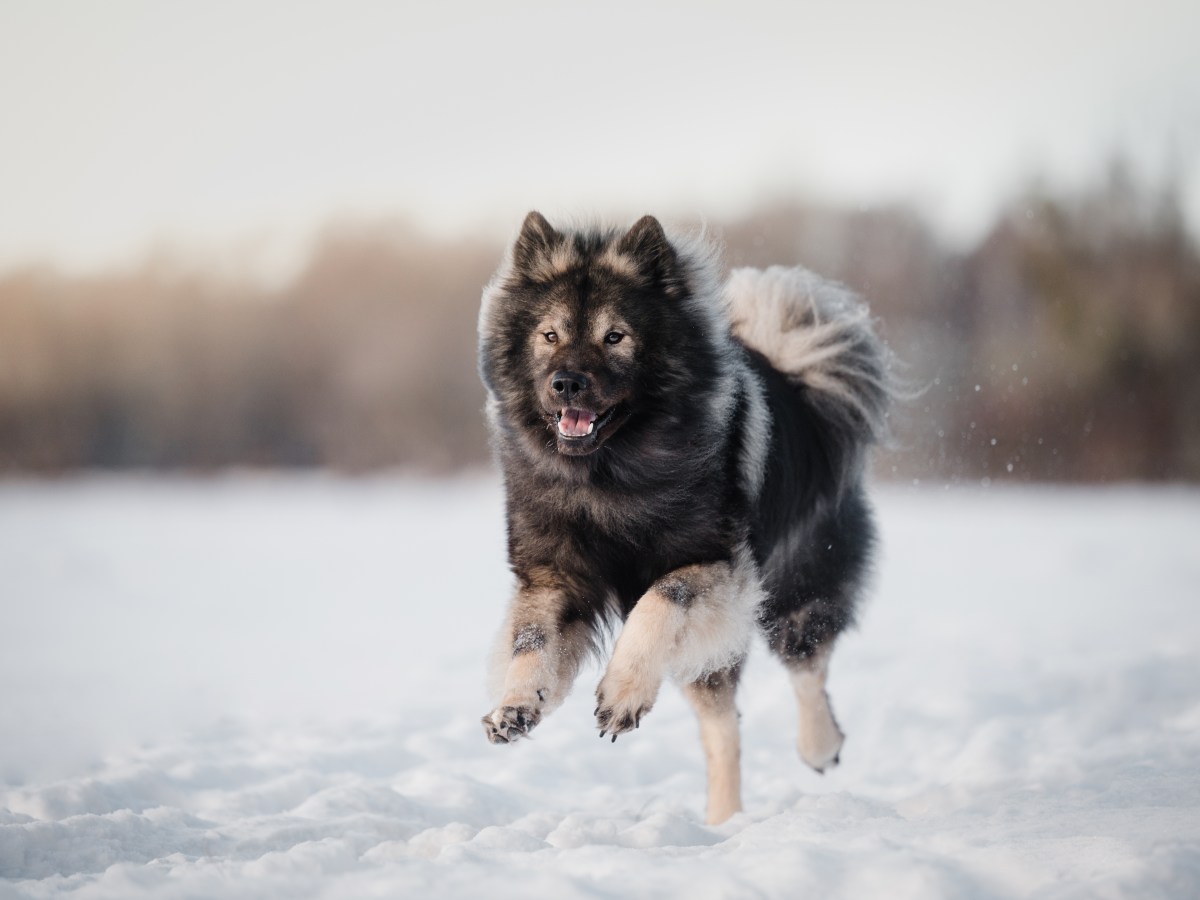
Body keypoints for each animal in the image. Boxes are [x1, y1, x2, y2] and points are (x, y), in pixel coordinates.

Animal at [472, 211, 888, 825]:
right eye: (549, 336)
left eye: (615, 337)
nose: (566, 383)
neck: (608, 478)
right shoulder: (555, 577)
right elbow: (531, 642)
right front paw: (517, 705)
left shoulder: (715, 567)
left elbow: (657, 605)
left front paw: (622, 693)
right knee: (724, 730)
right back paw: (723, 822)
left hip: (796, 588)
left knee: (805, 668)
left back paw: (817, 747)